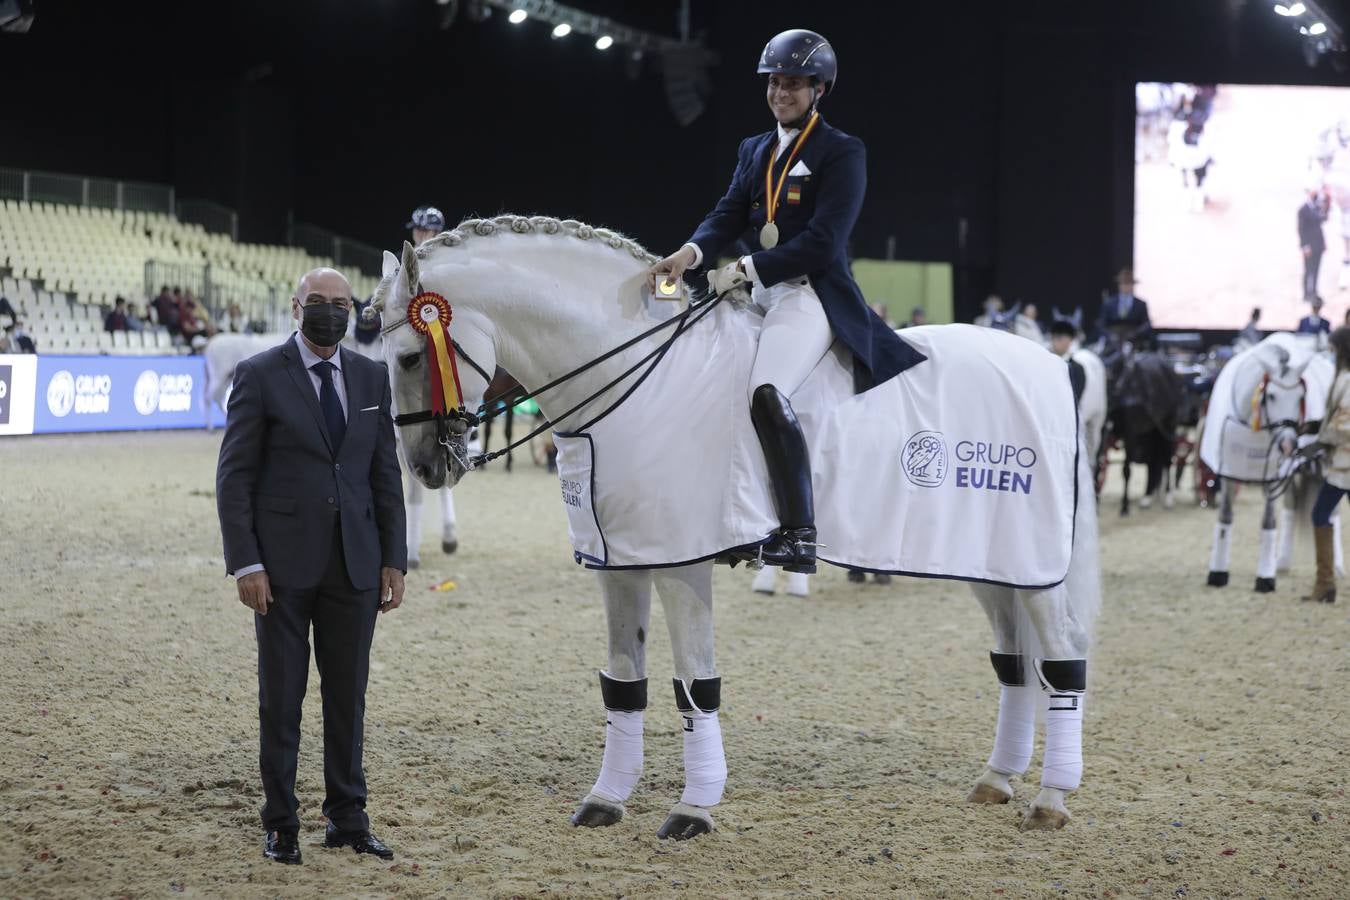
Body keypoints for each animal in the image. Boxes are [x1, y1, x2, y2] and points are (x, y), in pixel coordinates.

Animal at [372, 214, 1107, 841]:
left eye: (408, 357)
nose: (423, 466)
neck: (638, 381)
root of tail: (1050, 365)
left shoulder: (681, 563)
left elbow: (695, 686)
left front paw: (693, 810)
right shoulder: (620, 562)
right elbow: (624, 682)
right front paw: (606, 799)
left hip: (1035, 565)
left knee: (1064, 656)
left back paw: (1050, 799)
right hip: (991, 559)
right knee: (1014, 660)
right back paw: (997, 780)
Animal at [1204, 333, 1339, 591]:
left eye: (1301, 397)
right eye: (1271, 395)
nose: (1288, 445)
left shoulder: (1272, 477)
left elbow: (1267, 522)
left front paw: (1265, 578)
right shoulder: (1228, 472)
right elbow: (1225, 516)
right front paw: (1218, 574)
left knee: (1331, 512)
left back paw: (1337, 567)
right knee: (1292, 506)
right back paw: (1283, 562)